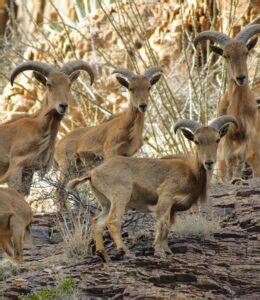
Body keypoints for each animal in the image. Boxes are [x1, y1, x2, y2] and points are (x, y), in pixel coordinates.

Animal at [0, 59, 94, 196]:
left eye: (68, 84)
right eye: (49, 84)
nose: (63, 105)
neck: (39, 129)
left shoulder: (29, 171)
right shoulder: (16, 167)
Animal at [54, 65, 162, 209]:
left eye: (148, 86)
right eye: (131, 88)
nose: (143, 105)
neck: (126, 125)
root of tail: (58, 145)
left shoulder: (126, 155)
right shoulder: (110, 153)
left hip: (77, 169)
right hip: (66, 165)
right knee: (59, 190)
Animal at [67, 116, 238, 262]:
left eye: (217, 139)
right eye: (196, 141)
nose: (209, 163)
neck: (191, 172)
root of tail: (92, 173)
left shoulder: (172, 209)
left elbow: (168, 226)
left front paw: (167, 249)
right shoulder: (166, 197)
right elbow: (162, 223)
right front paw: (159, 250)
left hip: (106, 203)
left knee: (97, 222)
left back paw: (104, 256)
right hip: (120, 196)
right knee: (113, 221)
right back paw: (125, 251)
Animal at [195, 23, 260, 182]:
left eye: (245, 53)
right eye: (226, 55)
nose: (241, 77)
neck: (238, 109)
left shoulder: (248, 134)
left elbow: (241, 156)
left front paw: (237, 178)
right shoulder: (227, 135)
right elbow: (230, 158)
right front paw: (231, 179)